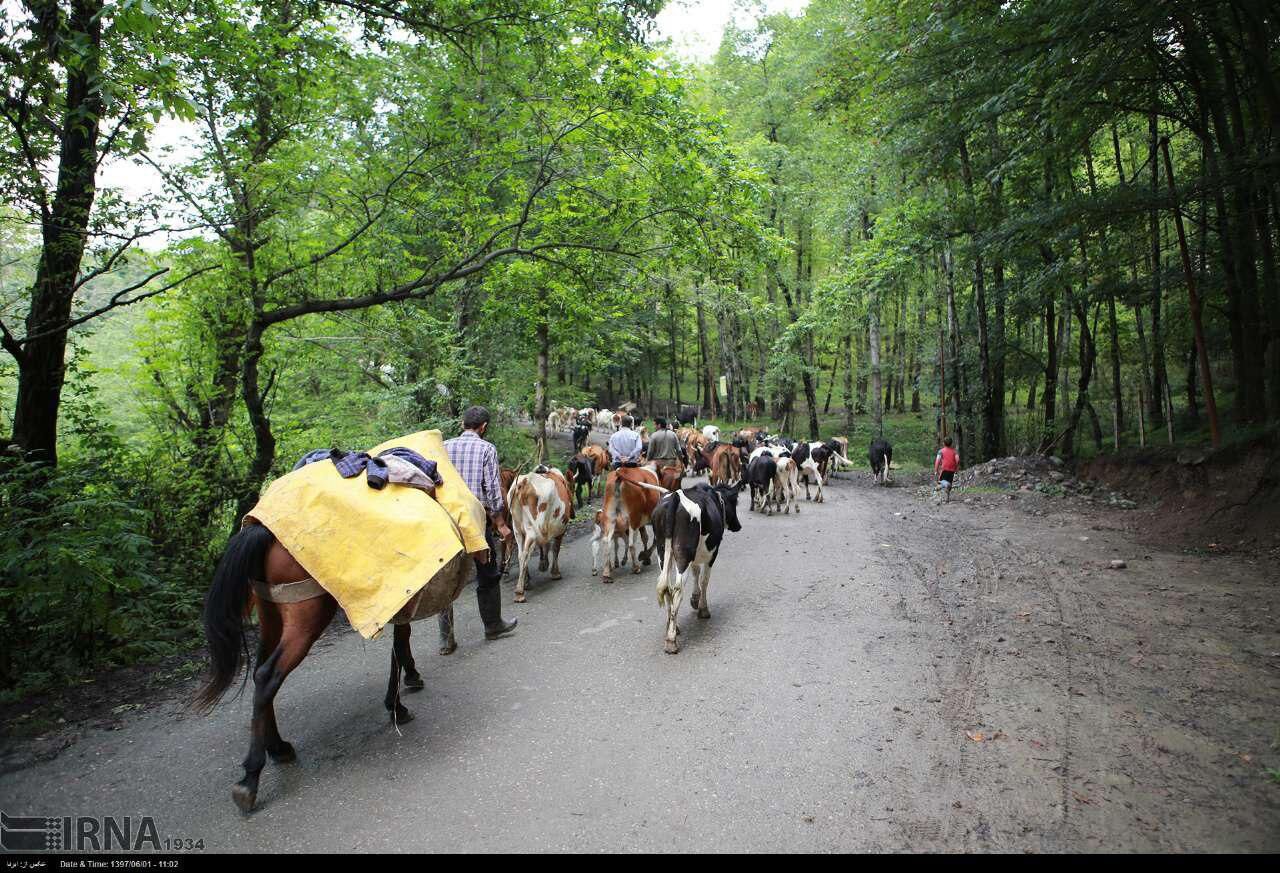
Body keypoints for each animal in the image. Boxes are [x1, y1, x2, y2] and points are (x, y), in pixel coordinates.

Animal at [194, 517, 460, 808]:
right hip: (306, 616)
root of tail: (263, 530)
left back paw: (278, 747)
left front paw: (405, 685)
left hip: (269, 612)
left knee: (258, 674)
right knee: (268, 676)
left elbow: (399, 644)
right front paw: (397, 705)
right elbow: (400, 642)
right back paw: (250, 778)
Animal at [506, 465, 573, 601]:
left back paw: (526, 582)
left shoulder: (543, 529)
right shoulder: (561, 529)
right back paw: (520, 591)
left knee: (520, 555)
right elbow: (555, 548)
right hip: (532, 531)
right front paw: (555, 572)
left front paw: (543, 564)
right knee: (525, 554)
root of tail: (523, 482)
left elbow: (545, 545)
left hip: (518, 529)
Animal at [655, 483, 747, 652]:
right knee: (677, 590)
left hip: (663, 552)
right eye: (734, 503)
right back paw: (671, 640)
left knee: (667, 588)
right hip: (683, 554)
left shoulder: (696, 555)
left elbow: (696, 572)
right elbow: (704, 580)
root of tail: (675, 496)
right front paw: (703, 608)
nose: (738, 526)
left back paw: (673, 626)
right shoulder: (712, 553)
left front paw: (695, 599)